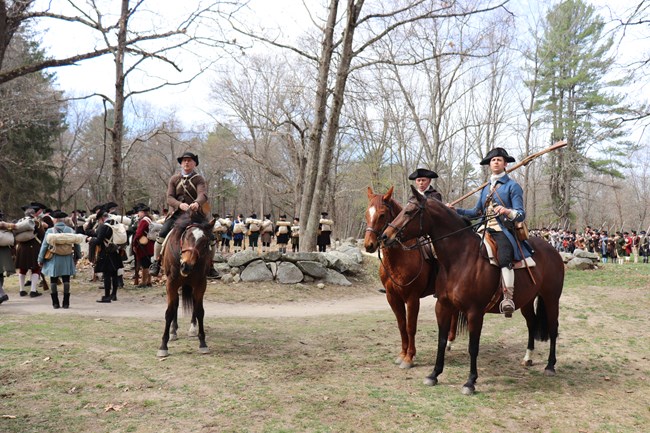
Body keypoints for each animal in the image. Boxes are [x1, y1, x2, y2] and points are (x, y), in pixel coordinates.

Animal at [156, 211, 214, 356]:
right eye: (187, 237)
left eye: (205, 242)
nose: (186, 266)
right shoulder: (171, 284)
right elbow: (169, 311)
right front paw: (163, 346)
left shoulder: (200, 284)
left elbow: (199, 311)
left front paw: (202, 343)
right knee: (175, 305)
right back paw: (173, 331)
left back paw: (192, 328)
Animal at [362, 186, 458, 368]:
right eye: (366, 213)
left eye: (382, 214)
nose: (369, 245)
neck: (399, 259)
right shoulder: (392, 297)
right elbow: (401, 325)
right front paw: (402, 354)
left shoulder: (412, 298)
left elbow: (410, 326)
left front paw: (409, 358)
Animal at [380, 184, 560, 394]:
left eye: (409, 212)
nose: (385, 236)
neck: (460, 258)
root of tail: (552, 249)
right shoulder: (442, 306)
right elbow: (441, 341)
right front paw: (434, 374)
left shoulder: (474, 312)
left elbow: (473, 346)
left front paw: (470, 382)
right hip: (527, 301)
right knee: (531, 324)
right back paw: (528, 358)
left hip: (551, 299)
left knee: (553, 328)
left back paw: (550, 365)